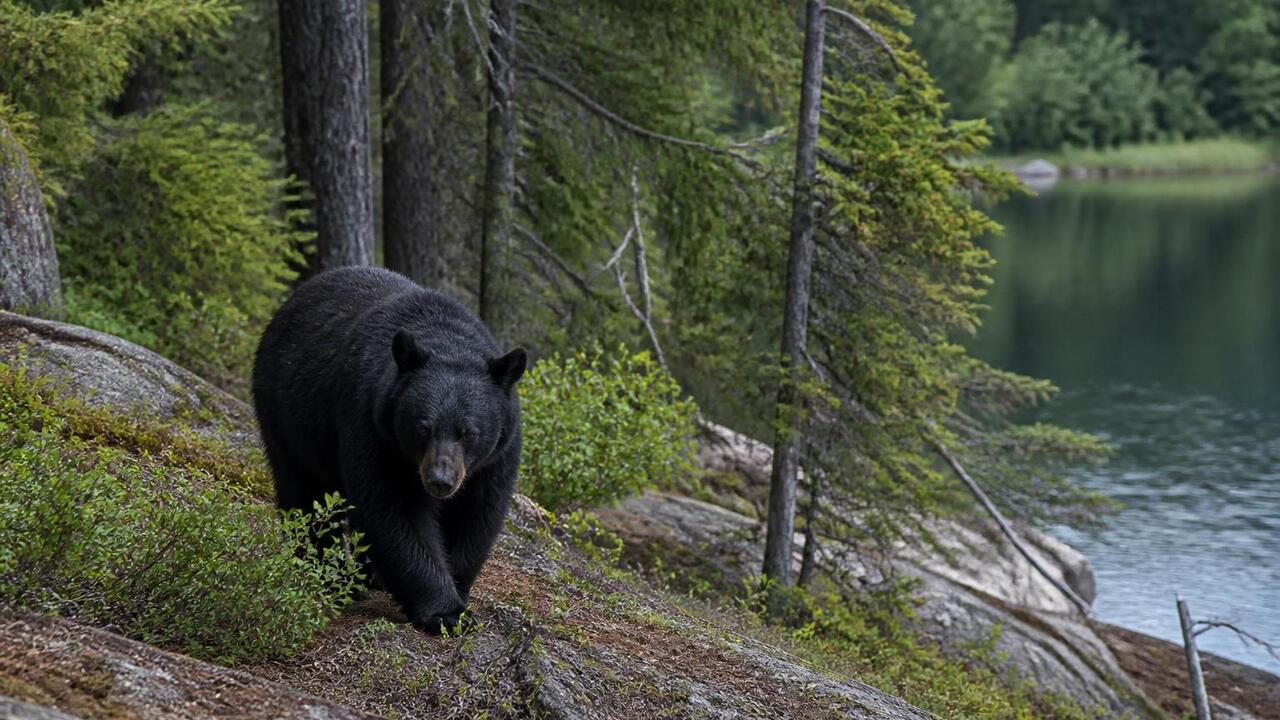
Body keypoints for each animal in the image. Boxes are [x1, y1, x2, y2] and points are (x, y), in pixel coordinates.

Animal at [251, 266, 526, 633]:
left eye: (468, 433)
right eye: (423, 428)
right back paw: (329, 572)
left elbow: (476, 514)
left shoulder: (497, 455)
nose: (440, 481)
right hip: (287, 417)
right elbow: (394, 508)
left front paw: (458, 591)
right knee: (305, 493)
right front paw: (444, 611)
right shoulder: (373, 426)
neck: (446, 339)